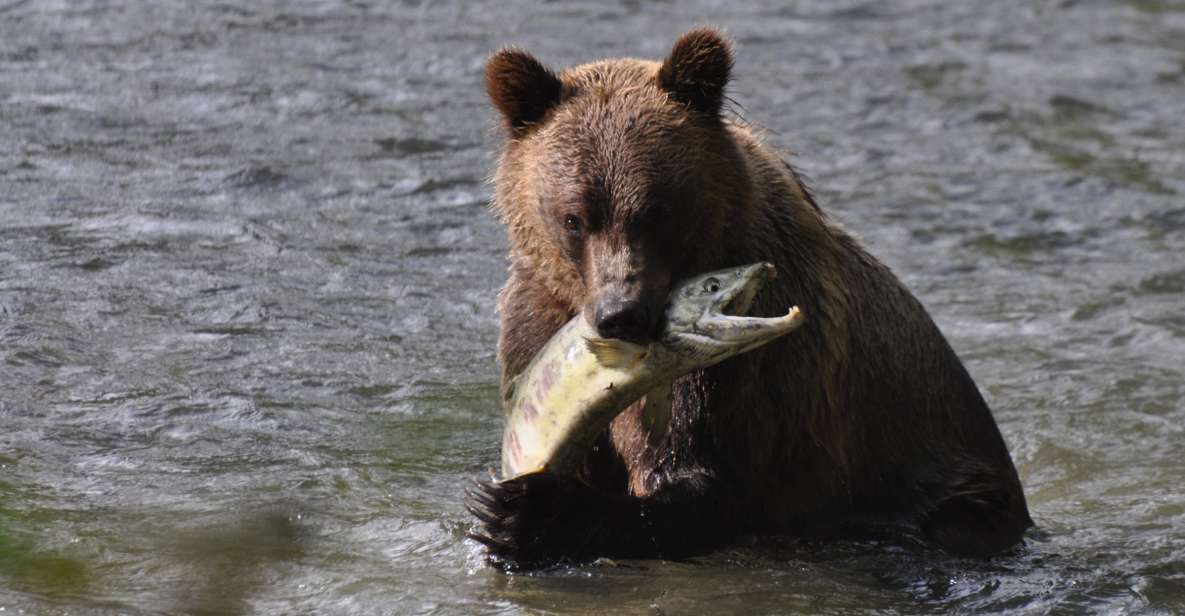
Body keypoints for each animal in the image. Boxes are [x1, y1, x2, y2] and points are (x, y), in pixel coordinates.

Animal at [466, 27, 1033, 568]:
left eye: (656, 211)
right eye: (574, 218)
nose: (620, 314)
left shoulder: (750, 375)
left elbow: (702, 482)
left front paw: (522, 511)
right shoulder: (536, 324)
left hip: (947, 477)